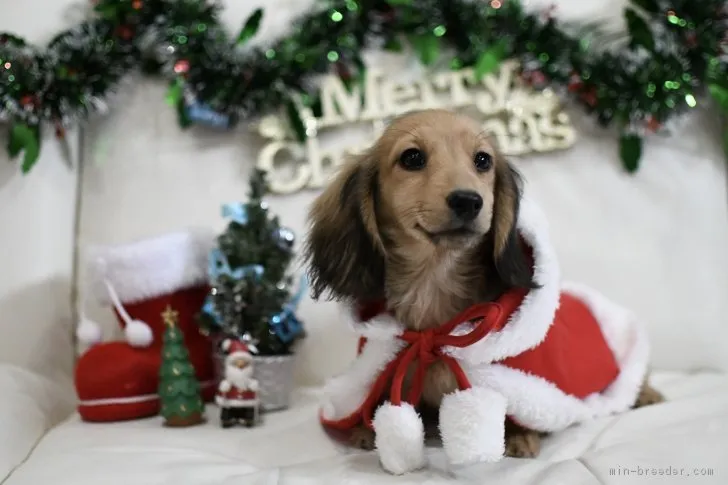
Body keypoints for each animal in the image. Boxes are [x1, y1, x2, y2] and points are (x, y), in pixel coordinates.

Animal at [304, 109, 664, 458]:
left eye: (482, 160)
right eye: (412, 157)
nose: (468, 201)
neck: (433, 288)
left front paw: (519, 436)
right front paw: (365, 430)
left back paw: (647, 394)